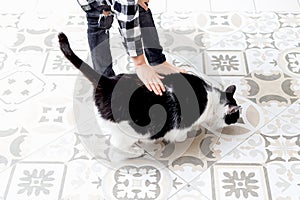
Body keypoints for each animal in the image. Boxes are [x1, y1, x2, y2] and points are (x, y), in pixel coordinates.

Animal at [58, 32, 241, 158]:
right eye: (235, 116)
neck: (213, 100)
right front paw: (188, 135)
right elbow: (181, 135)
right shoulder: (180, 126)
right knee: (116, 144)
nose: (237, 120)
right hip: (127, 131)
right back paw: (136, 151)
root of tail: (107, 82)